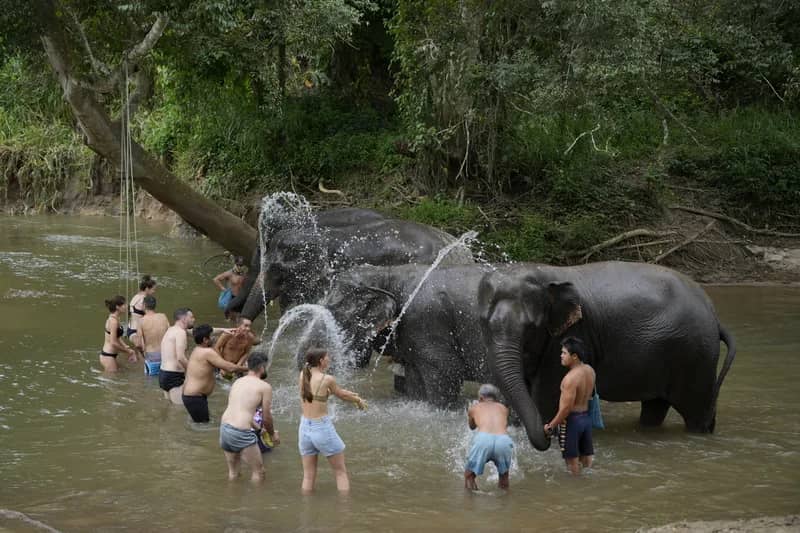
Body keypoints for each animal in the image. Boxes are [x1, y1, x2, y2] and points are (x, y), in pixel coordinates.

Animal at [478, 261, 736, 451]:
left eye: (531, 327)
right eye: (484, 323)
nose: (547, 433)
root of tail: (715, 317)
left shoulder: (572, 335)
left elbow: (545, 394)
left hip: (695, 357)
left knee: (696, 414)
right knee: (655, 407)